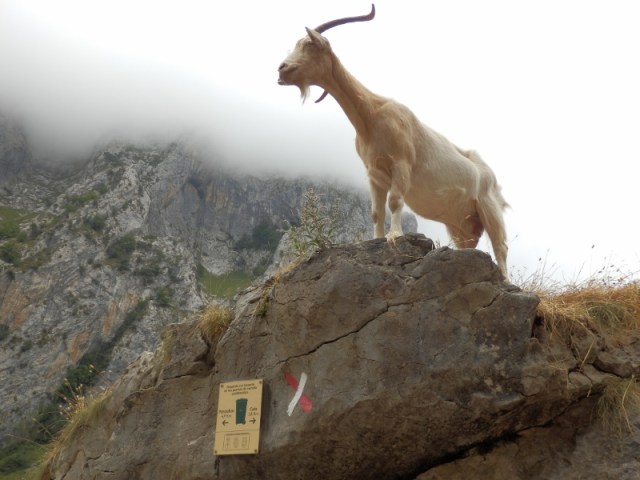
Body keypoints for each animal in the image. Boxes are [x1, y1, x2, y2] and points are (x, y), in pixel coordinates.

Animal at [277, 5, 510, 280]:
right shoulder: (375, 174)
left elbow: (395, 201)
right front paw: (375, 239)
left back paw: (505, 278)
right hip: (461, 223)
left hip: (489, 207)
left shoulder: (401, 163)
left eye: (308, 45)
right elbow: (376, 212)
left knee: (501, 246)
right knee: (468, 245)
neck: (371, 116)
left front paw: (394, 236)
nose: (281, 69)